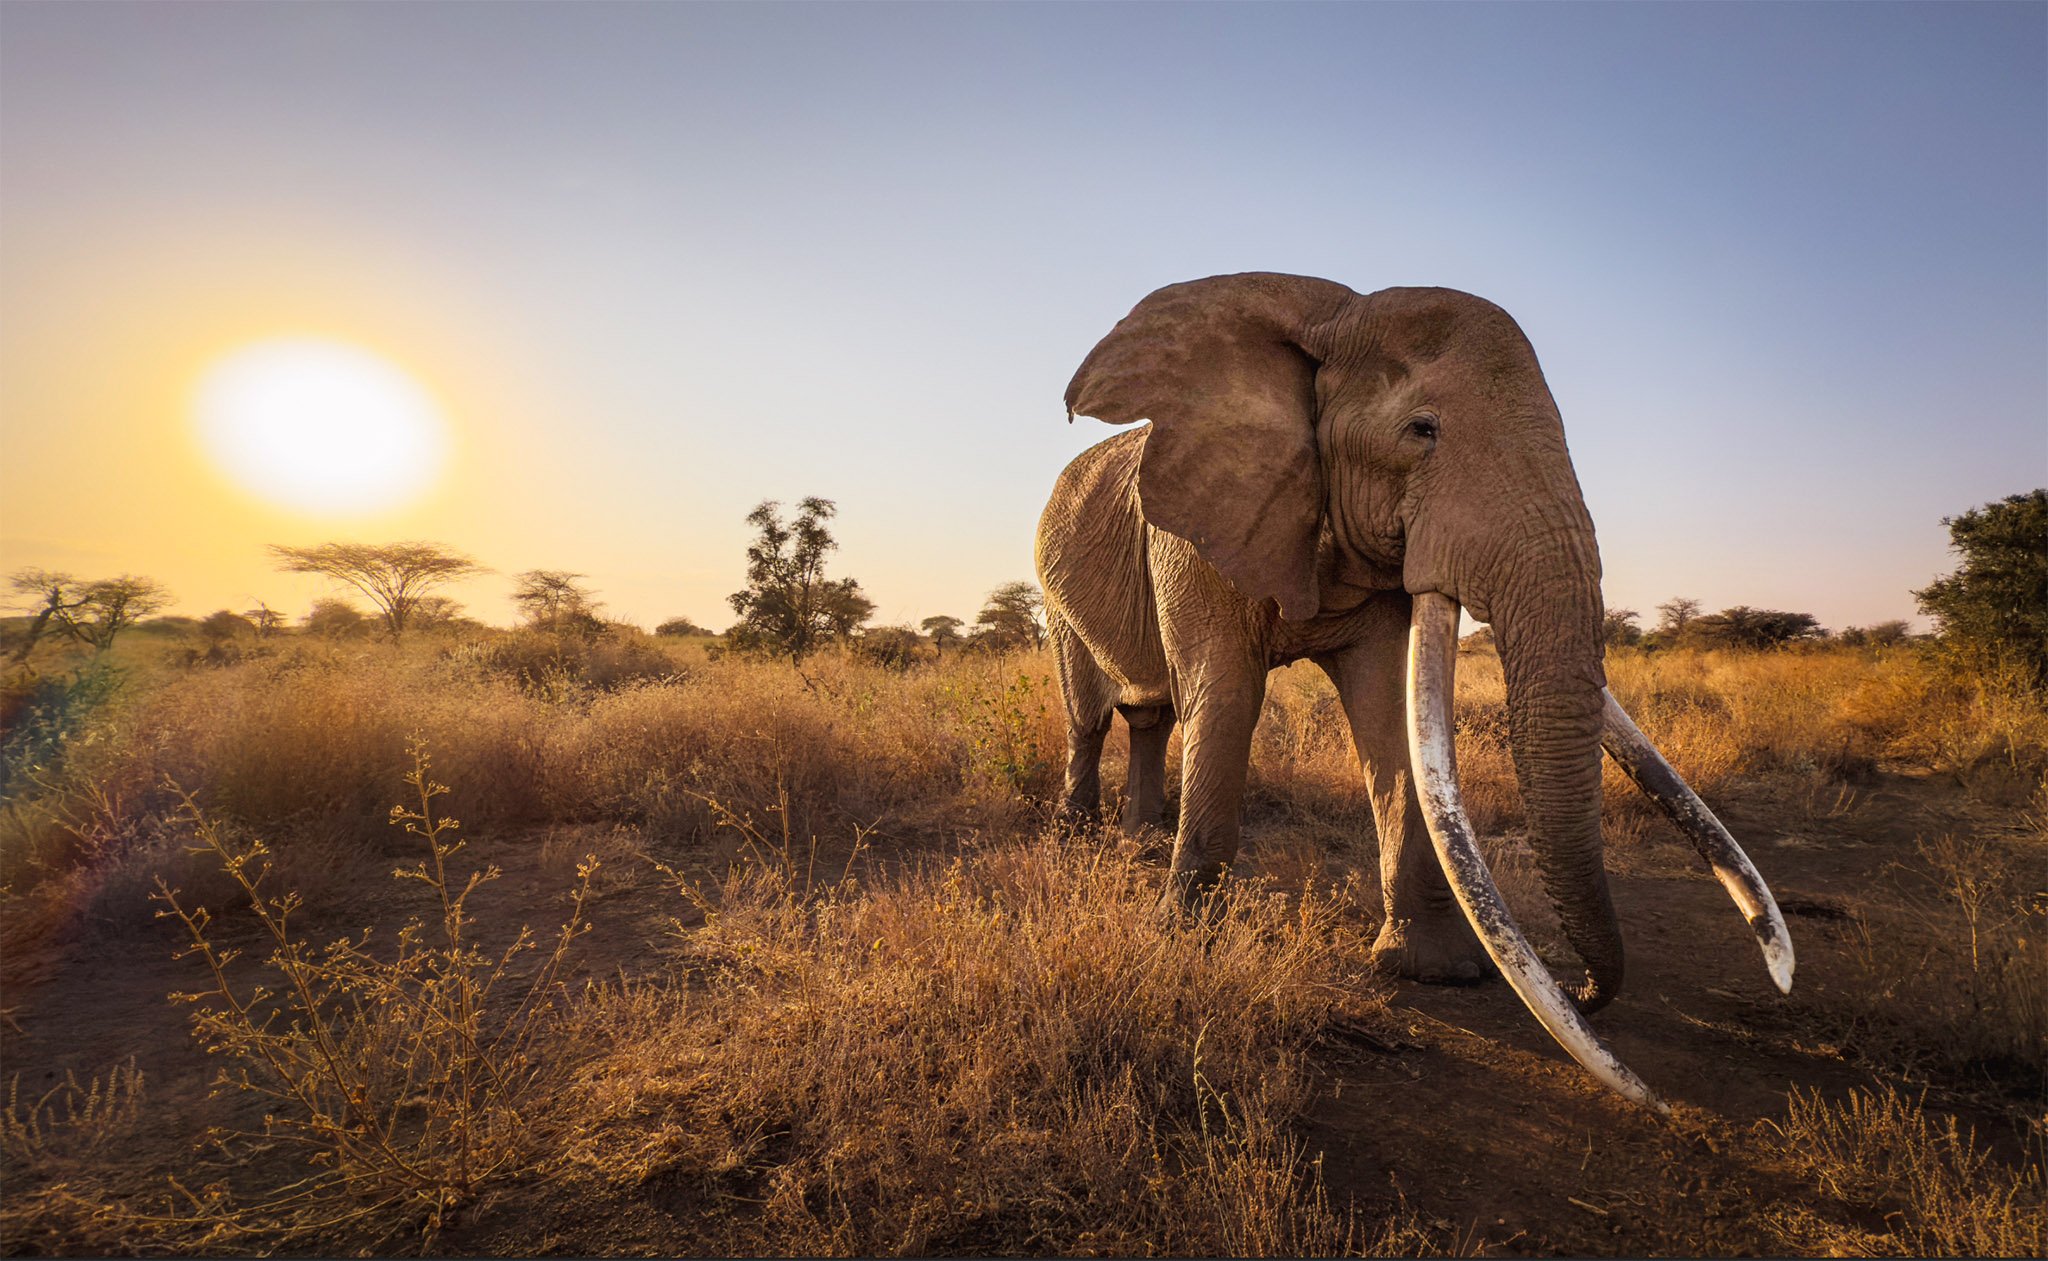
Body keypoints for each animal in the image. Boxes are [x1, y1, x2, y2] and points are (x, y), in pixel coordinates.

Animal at [1035, 273, 1792, 1109]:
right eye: (1421, 430)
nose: (1581, 988)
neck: (1332, 315)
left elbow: (1389, 715)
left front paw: (1434, 972)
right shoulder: (1198, 524)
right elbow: (1225, 697)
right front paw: (1184, 944)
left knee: (1150, 716)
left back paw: (1140, 837)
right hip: (1052, 589)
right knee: (1090, 713)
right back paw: (1080, 836)